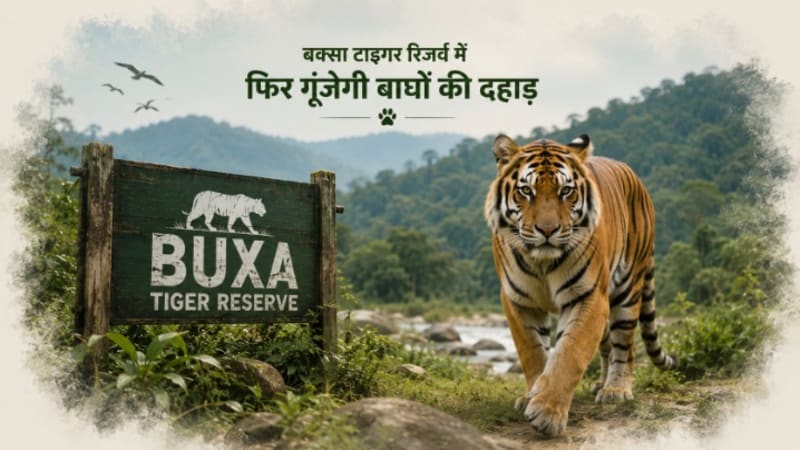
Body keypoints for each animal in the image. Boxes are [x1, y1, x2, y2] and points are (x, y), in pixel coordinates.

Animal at [484, 133, 677, 436]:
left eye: (565, 191)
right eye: (526, 191)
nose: (547, 230)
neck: (542, 263)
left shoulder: (589, 297)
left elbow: (569, 353)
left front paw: (547, 412)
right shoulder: (519, 300)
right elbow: (533, 352)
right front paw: (531, 395)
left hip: (627, 290)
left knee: (625, 346)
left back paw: (616, 390)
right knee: (607, 345)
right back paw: (601, 383)